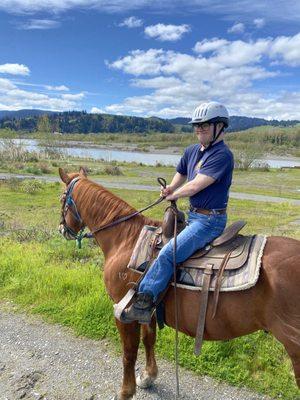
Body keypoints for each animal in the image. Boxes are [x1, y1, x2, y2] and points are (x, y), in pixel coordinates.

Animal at [58, 167, 300, 398]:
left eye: (62, 198)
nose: (62, 229)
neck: (125, 240)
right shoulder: (146, 308)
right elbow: (149, 339)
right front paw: (148, 376)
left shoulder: (122, 310)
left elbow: (129, 353)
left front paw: (126, 391)